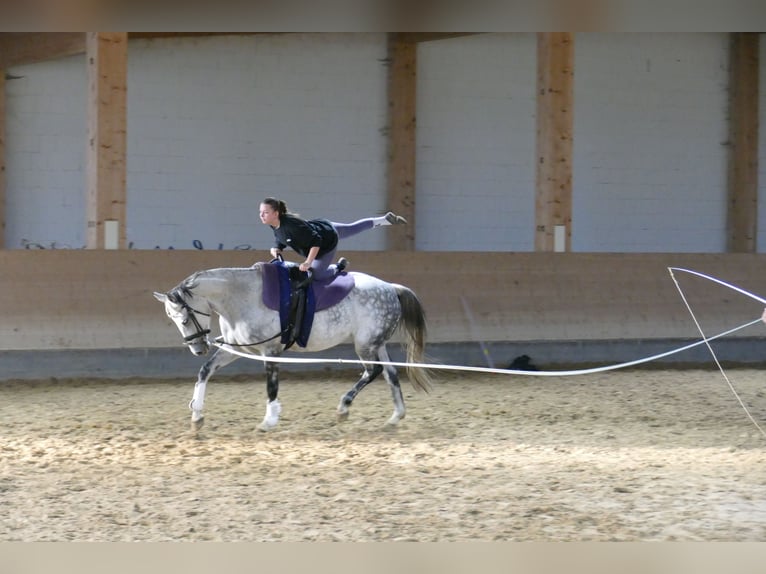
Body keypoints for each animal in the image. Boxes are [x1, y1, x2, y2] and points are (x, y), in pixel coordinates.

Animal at [153, 263, 433, 431]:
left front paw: (269, 420)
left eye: (184, 318)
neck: (243, 297)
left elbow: (271, 386)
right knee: (391, 374)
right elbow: (205, 371)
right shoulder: (239, 348)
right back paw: (395, 417)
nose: (197, 348)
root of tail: (391, 288)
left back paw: (344, 407)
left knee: (373, 372)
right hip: (377, 344)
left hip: (365, 344)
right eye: (172, 319)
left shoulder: (271, 351)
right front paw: (197, 415)